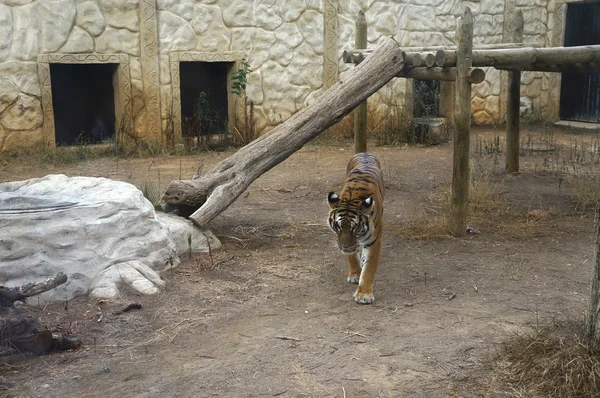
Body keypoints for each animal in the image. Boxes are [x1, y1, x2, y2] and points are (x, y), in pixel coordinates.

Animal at [328, 152, 384, 304]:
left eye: (355, 228)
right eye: (338, 226)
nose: (344, 246)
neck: (352, 199)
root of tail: (364, 152)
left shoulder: (374, 241)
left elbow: (369, 268)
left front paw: (364, 294)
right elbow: (352, 256)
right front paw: (355, 274)